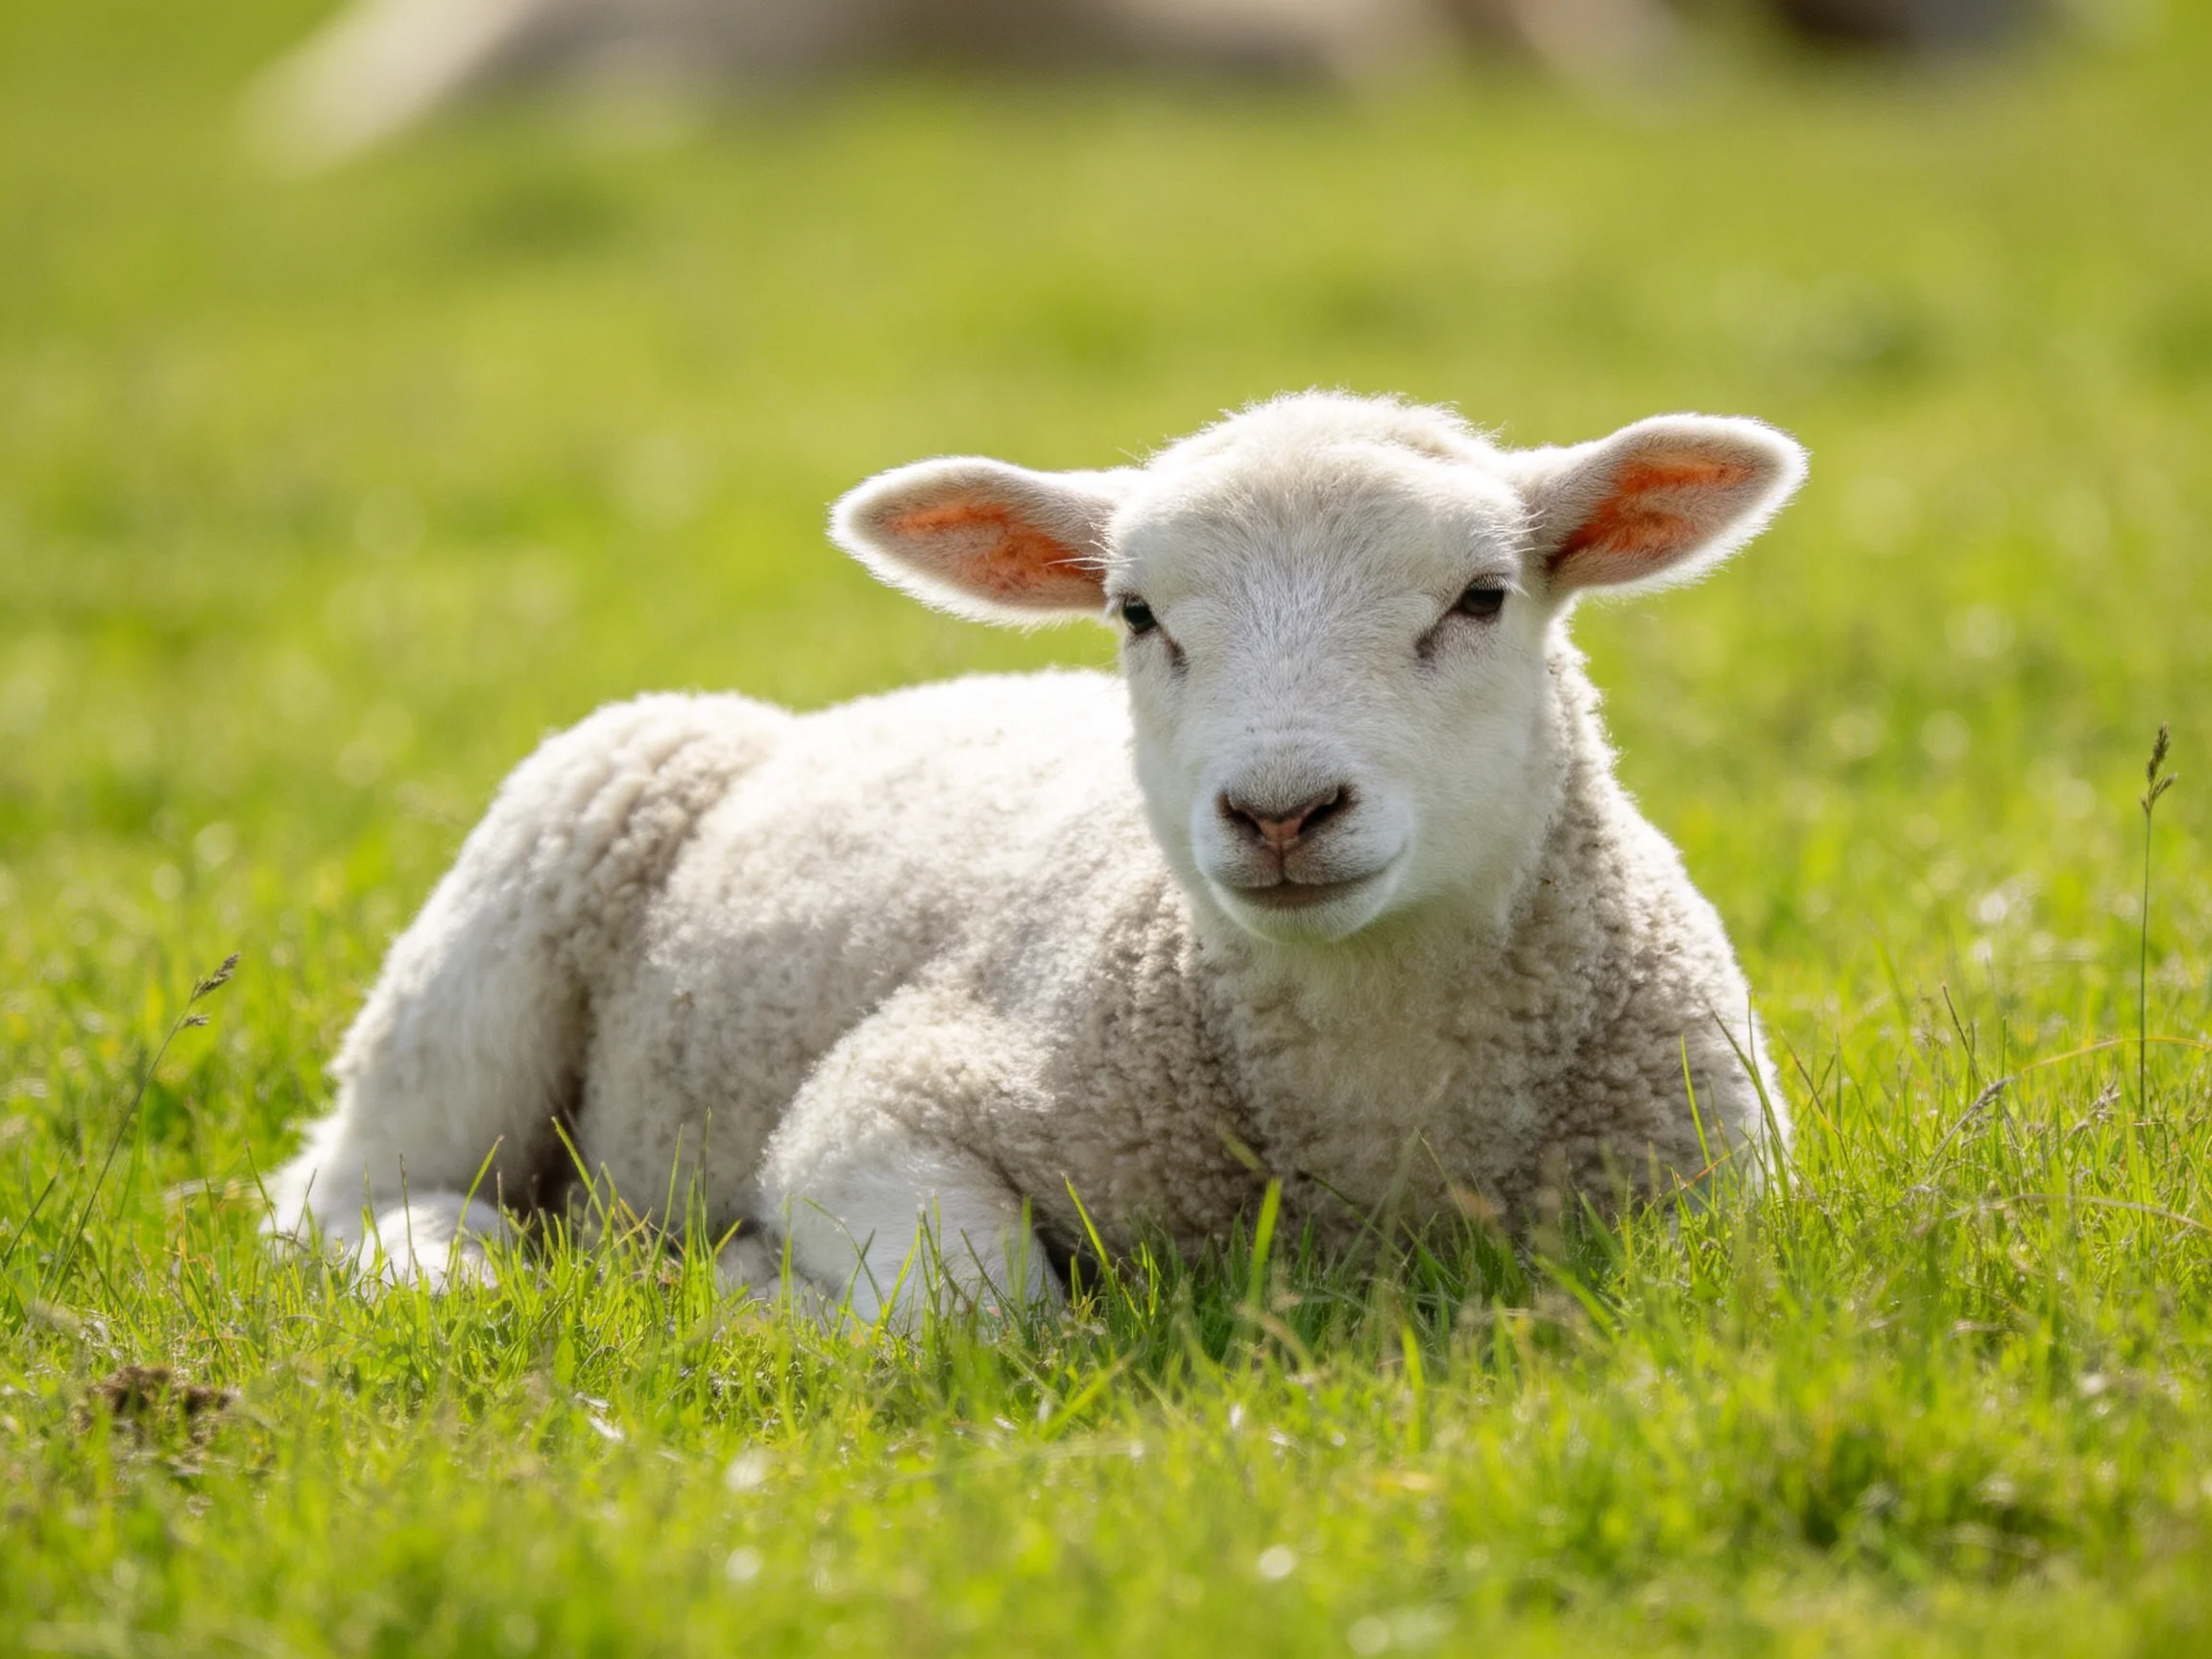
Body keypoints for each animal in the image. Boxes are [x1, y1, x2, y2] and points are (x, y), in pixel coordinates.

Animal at [267, 391, 1806, 1321]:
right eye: (1137, 614)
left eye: (1482, 599)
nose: (1281, 811)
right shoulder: (884, 1098)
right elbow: (978, 1318)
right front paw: (755, 1285)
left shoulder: (1721, 1189)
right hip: (508, 921)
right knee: (340, 1195)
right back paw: (463, 1264)